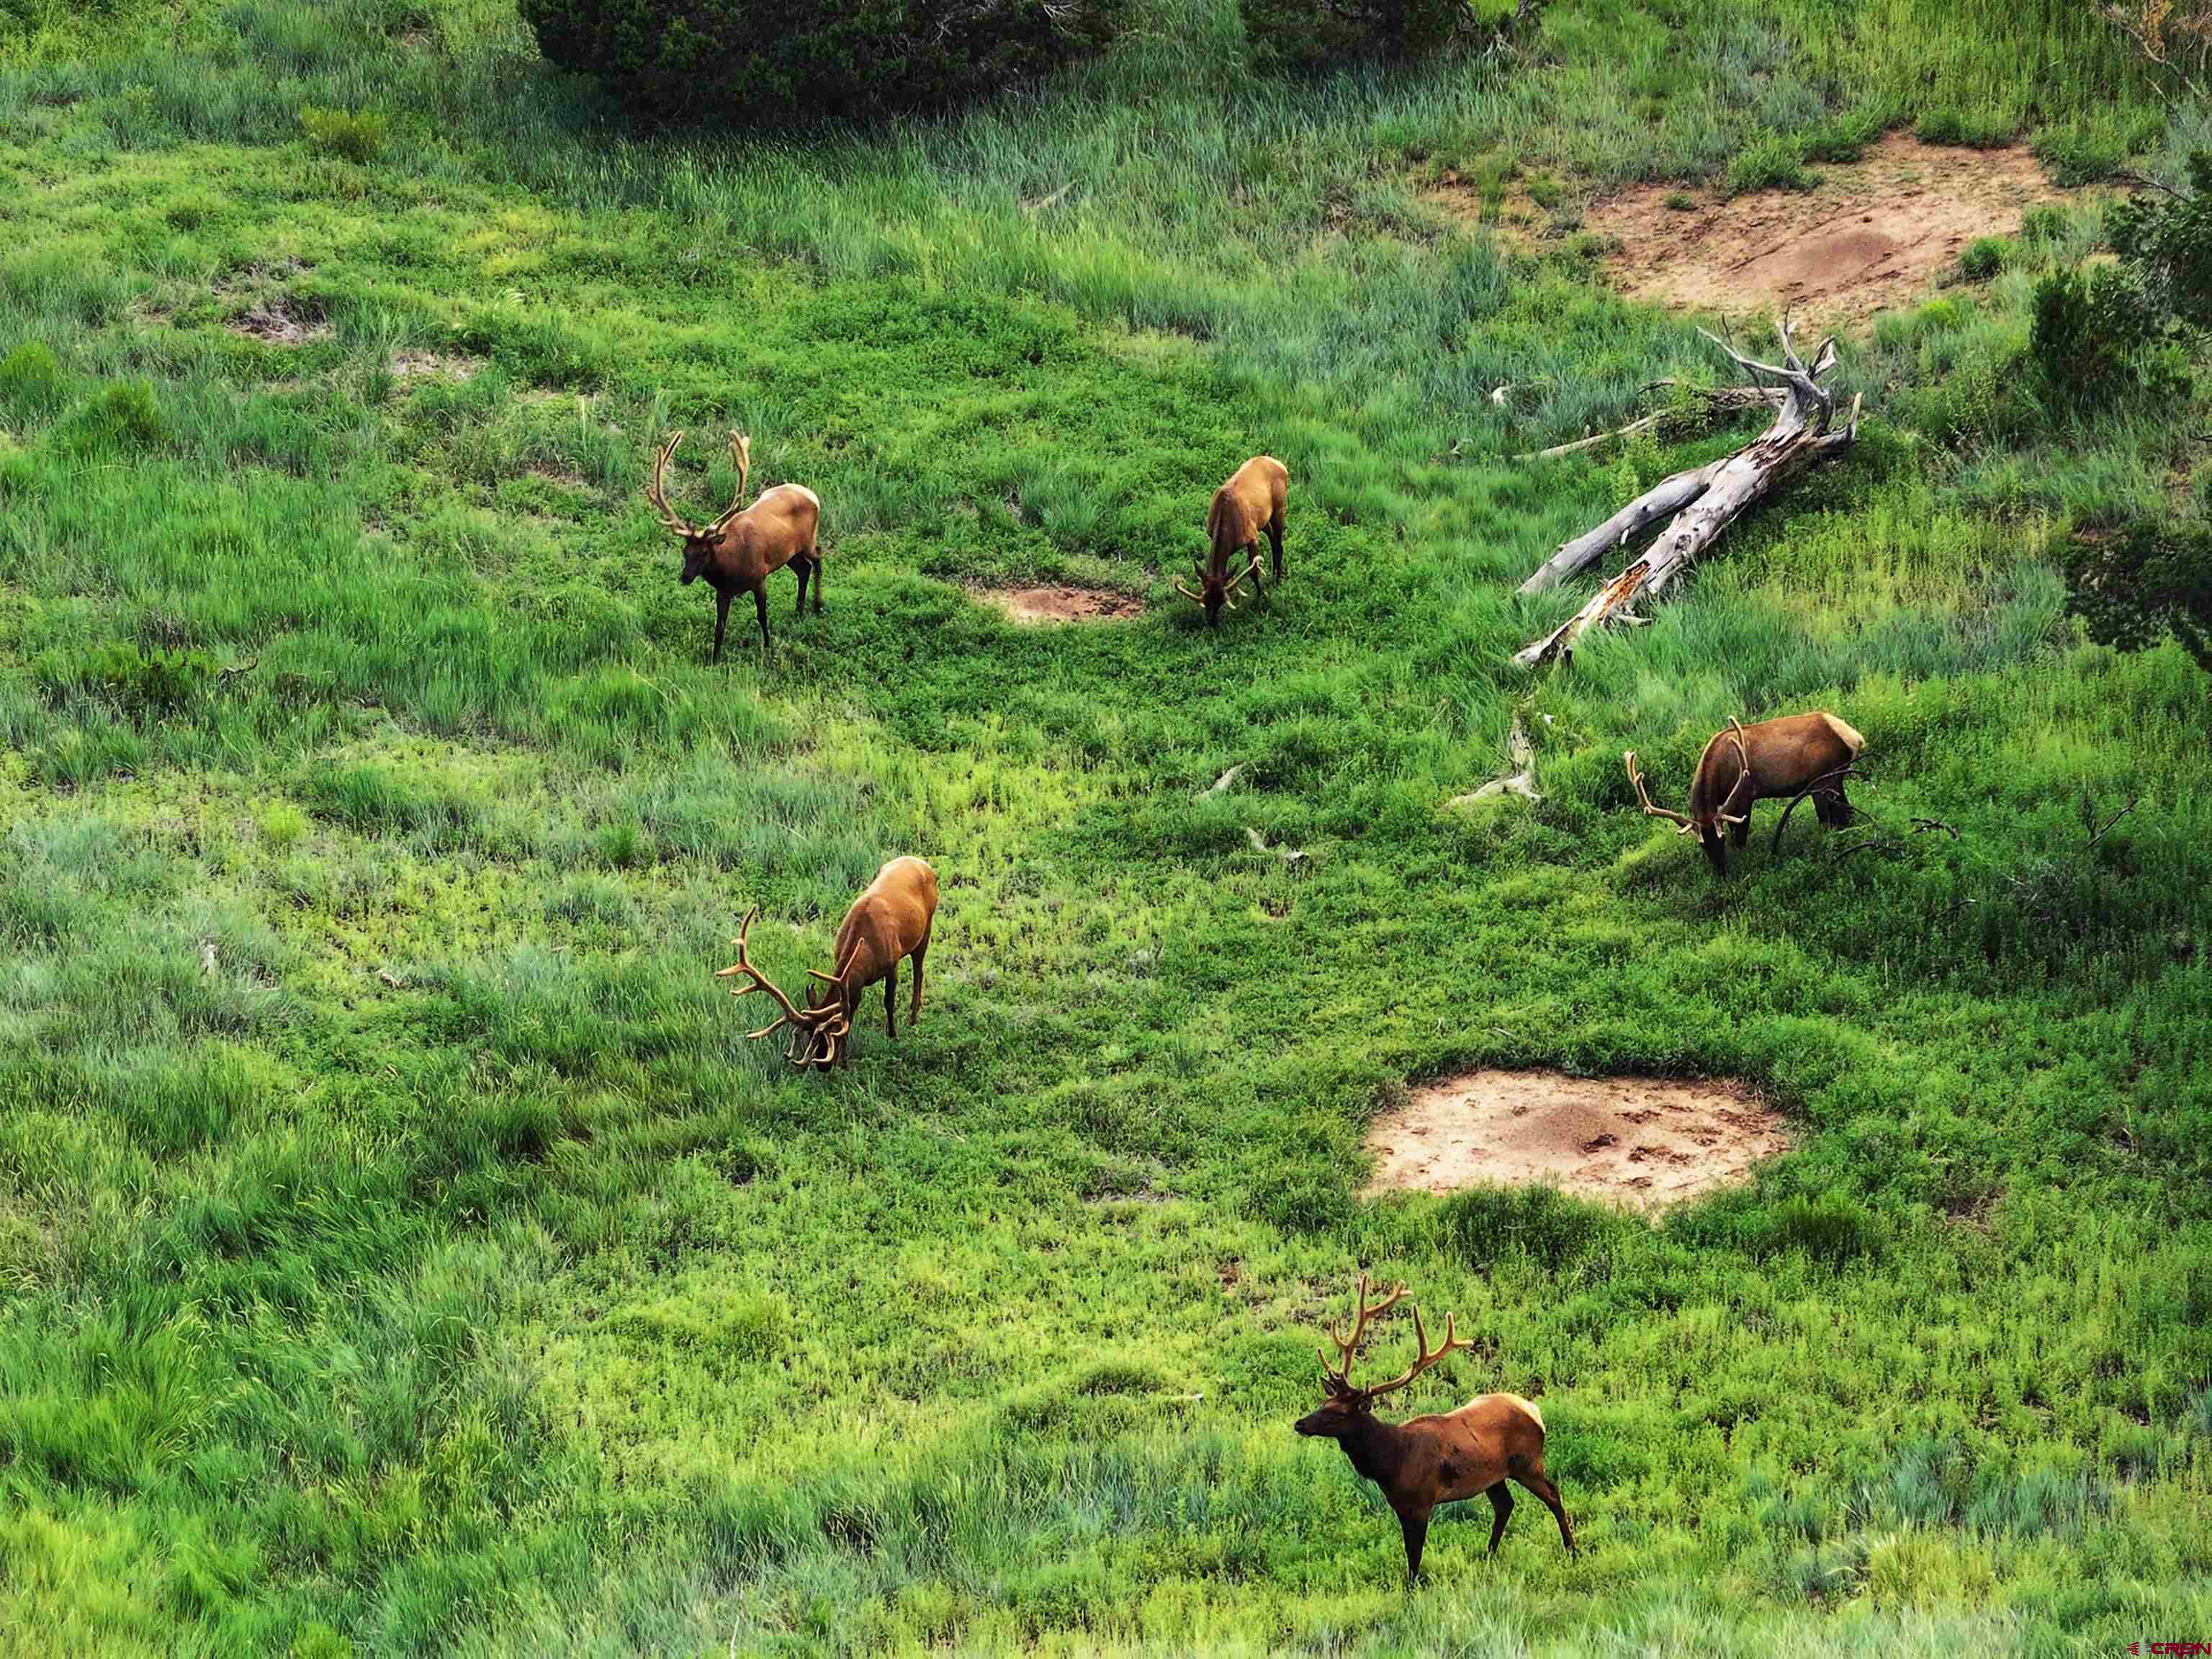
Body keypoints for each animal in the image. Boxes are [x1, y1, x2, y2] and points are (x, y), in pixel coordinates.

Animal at [646, 431, 827, 667]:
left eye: (704, 552)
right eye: (684, 552)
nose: (685, 577)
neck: (730, 568)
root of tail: (813, 495)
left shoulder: (759, 578)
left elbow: (762, 615)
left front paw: (767, 647)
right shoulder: (722, 591)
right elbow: (719, 627)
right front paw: (714, 660)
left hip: (808, 541)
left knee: (818, 558)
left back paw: (816, 606)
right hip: (789, 553)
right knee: (804, 569)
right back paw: (798, 611)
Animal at [716, 858, 933, 1079]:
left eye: (831, 1034)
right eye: (809, 1035)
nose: (823, 1067)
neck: (866, 952)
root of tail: (922, 863)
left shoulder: (892, 963)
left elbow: (888, 1002)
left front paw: (892, 1036)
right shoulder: (852, 982)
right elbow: (851, 1011)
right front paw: (843, 1062)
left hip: (927, 927)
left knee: (919, 971)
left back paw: (913, 1017)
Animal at [1177, 455, 1292, 628]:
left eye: (1221, 602)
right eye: (1206, 602)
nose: (1211, 622)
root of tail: (1281, 465)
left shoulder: (1252, 536)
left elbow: (1253, 571)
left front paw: (1260, 596)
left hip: (1279, 508)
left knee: (1279, 543)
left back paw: (1277, 580)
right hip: (1262, 520)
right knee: (1273, 540)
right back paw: (1273, 574)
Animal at [1292, 1274, 1583, 1583]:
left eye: (1339, 1413)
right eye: (1324, 1402)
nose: (1300, 1424)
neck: (1390, 1462)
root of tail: (1534, 1410)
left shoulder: (1422, 1501)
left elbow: (1415, 1554)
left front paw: (1412, 1588)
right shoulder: (1399, 1504)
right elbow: (1409, 1551)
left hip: (1528, 1463)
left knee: (1553, 1494)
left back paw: (1572, 1551)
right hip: (1494, 1475)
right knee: (1505, 1505)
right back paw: (1489, 1555)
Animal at [1627, 708, 1866, 876]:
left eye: (1721, 840)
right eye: (1702, 845)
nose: (1721, 873)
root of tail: (1855, 737)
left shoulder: (1744, 796)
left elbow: (1741, 838)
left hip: (1823, 781)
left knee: (1829, 820)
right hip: (1838, 779)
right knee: (1847, 813)